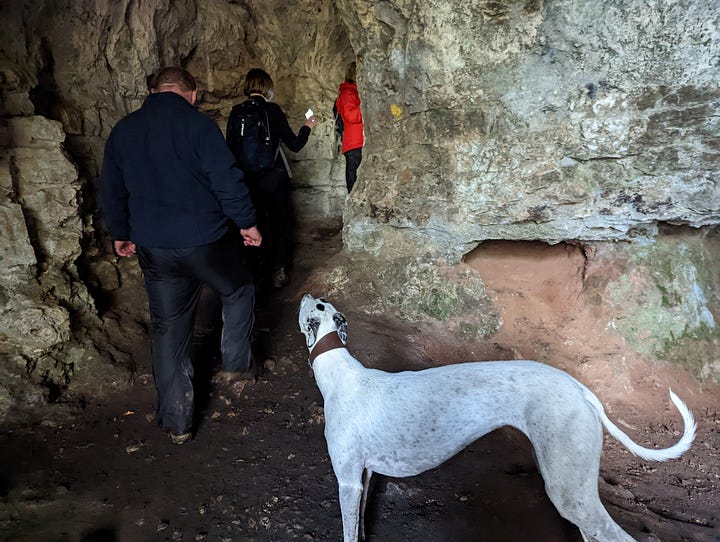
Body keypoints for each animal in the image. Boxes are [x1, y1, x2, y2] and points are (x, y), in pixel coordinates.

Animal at [300, 298, 696, 542]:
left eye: (315, 304)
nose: (304, 292)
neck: (340, 371)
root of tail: (578, 387)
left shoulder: (347, 481)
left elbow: (348, 529)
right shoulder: (363, 475)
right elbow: (360, 525)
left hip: (568, 491)